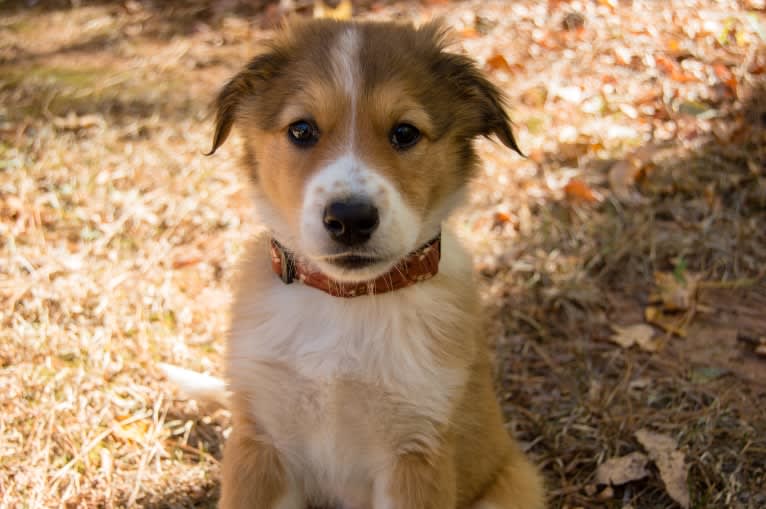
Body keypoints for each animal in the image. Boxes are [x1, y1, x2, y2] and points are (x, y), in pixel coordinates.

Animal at [172, 16, 548, 508]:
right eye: (302, 130)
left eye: (405, 133)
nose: (350, 219)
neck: (345, 303)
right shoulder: (260, 444)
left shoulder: (417, 455)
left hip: (515, 483)